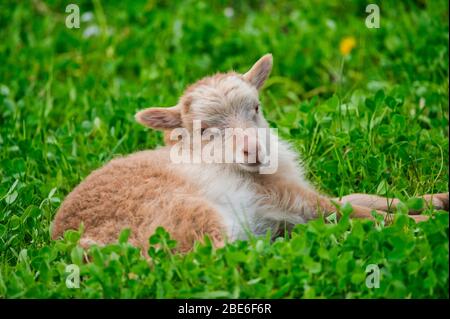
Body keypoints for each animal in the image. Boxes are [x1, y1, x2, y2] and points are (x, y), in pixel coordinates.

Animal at [51, 55, 448, 255]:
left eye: (255, 108)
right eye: (204, 130)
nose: (254, 149)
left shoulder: (289, 198)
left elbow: (362, 198)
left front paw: (437, 200)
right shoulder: (283, 197)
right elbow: (358, 211)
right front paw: (427, 222)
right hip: (189, 216)